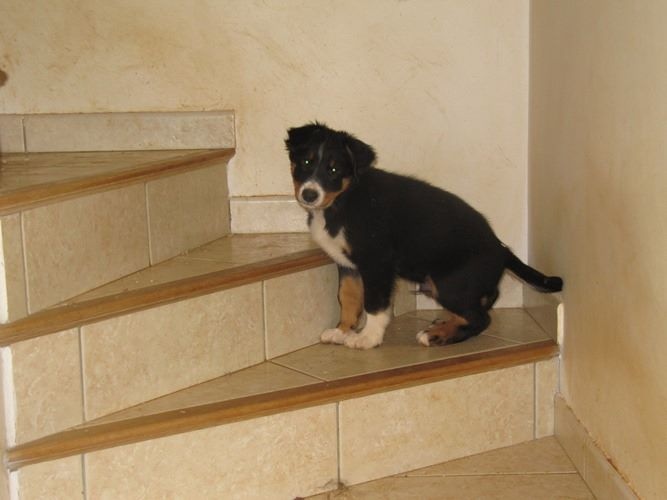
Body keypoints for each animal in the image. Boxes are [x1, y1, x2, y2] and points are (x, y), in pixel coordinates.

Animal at [285, 122, 563, 349]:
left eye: (333, 170)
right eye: (306, 163)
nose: (309, 194)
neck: (342, 201)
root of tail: (502, 249)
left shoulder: (376, 262)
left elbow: (375, 303)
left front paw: (368, 338)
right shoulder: (348, 265)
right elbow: (348, 297)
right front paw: (342, 331)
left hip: (449, 283)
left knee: (481, 318)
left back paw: (438, 336)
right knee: (484, 301)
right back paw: (443, 324)